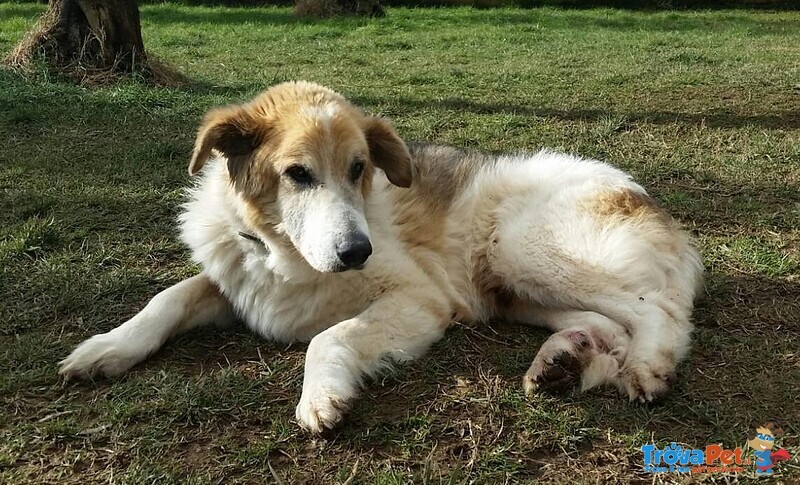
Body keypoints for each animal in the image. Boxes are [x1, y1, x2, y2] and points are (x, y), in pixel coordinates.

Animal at [61, 80, 700, 432]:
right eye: (297, 174)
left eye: (359, 168)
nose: (357, 251)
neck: (287, 260)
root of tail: (646, 198)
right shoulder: (237, 279)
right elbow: (167, 297)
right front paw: (107, 348)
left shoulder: (422, 299)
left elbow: (330, 336)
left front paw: (322, 396)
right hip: (514, 290)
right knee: (608, 325)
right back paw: (563, 361)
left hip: (521, 248)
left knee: (660, 312)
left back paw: (647, 367)